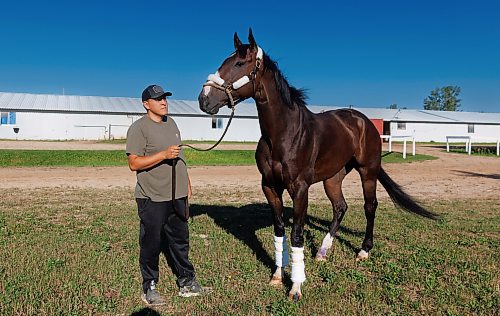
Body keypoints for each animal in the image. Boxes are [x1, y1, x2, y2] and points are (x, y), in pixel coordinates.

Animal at [197, 28, 436, 300]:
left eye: (238, 63)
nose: (204, 99)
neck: (283, 134)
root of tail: (362, 121)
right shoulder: (270, 187)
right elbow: (280, 230)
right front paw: (277, 276)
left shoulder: (300, 189)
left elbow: (297, 234)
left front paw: (296, 286)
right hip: (332, 178)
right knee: (340, 207)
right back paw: (322, 251)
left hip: (368, 171)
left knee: (369, 206)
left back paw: (364, 250)